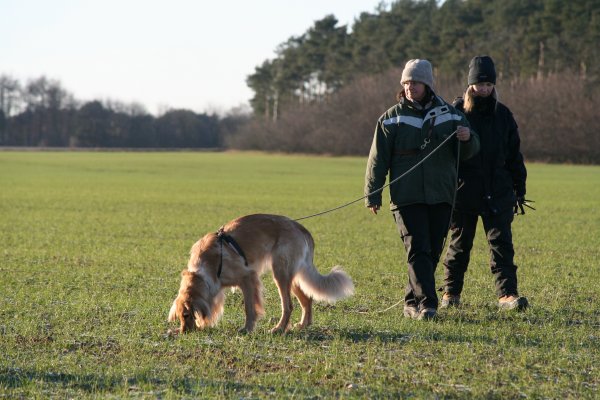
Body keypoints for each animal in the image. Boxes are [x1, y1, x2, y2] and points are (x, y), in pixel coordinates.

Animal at [166, 214, 354, 332]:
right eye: (181, 317)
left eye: (186, 315)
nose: (184, 332)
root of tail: (300, 228)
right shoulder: (216, 290)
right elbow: (213, 309)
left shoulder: (248, 278)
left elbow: (249, 308)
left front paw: (247, 328)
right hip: (291, 277)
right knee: (307, 299)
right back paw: (302, 325)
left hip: (280, 273)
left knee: (288, 305)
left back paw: (279, 328)